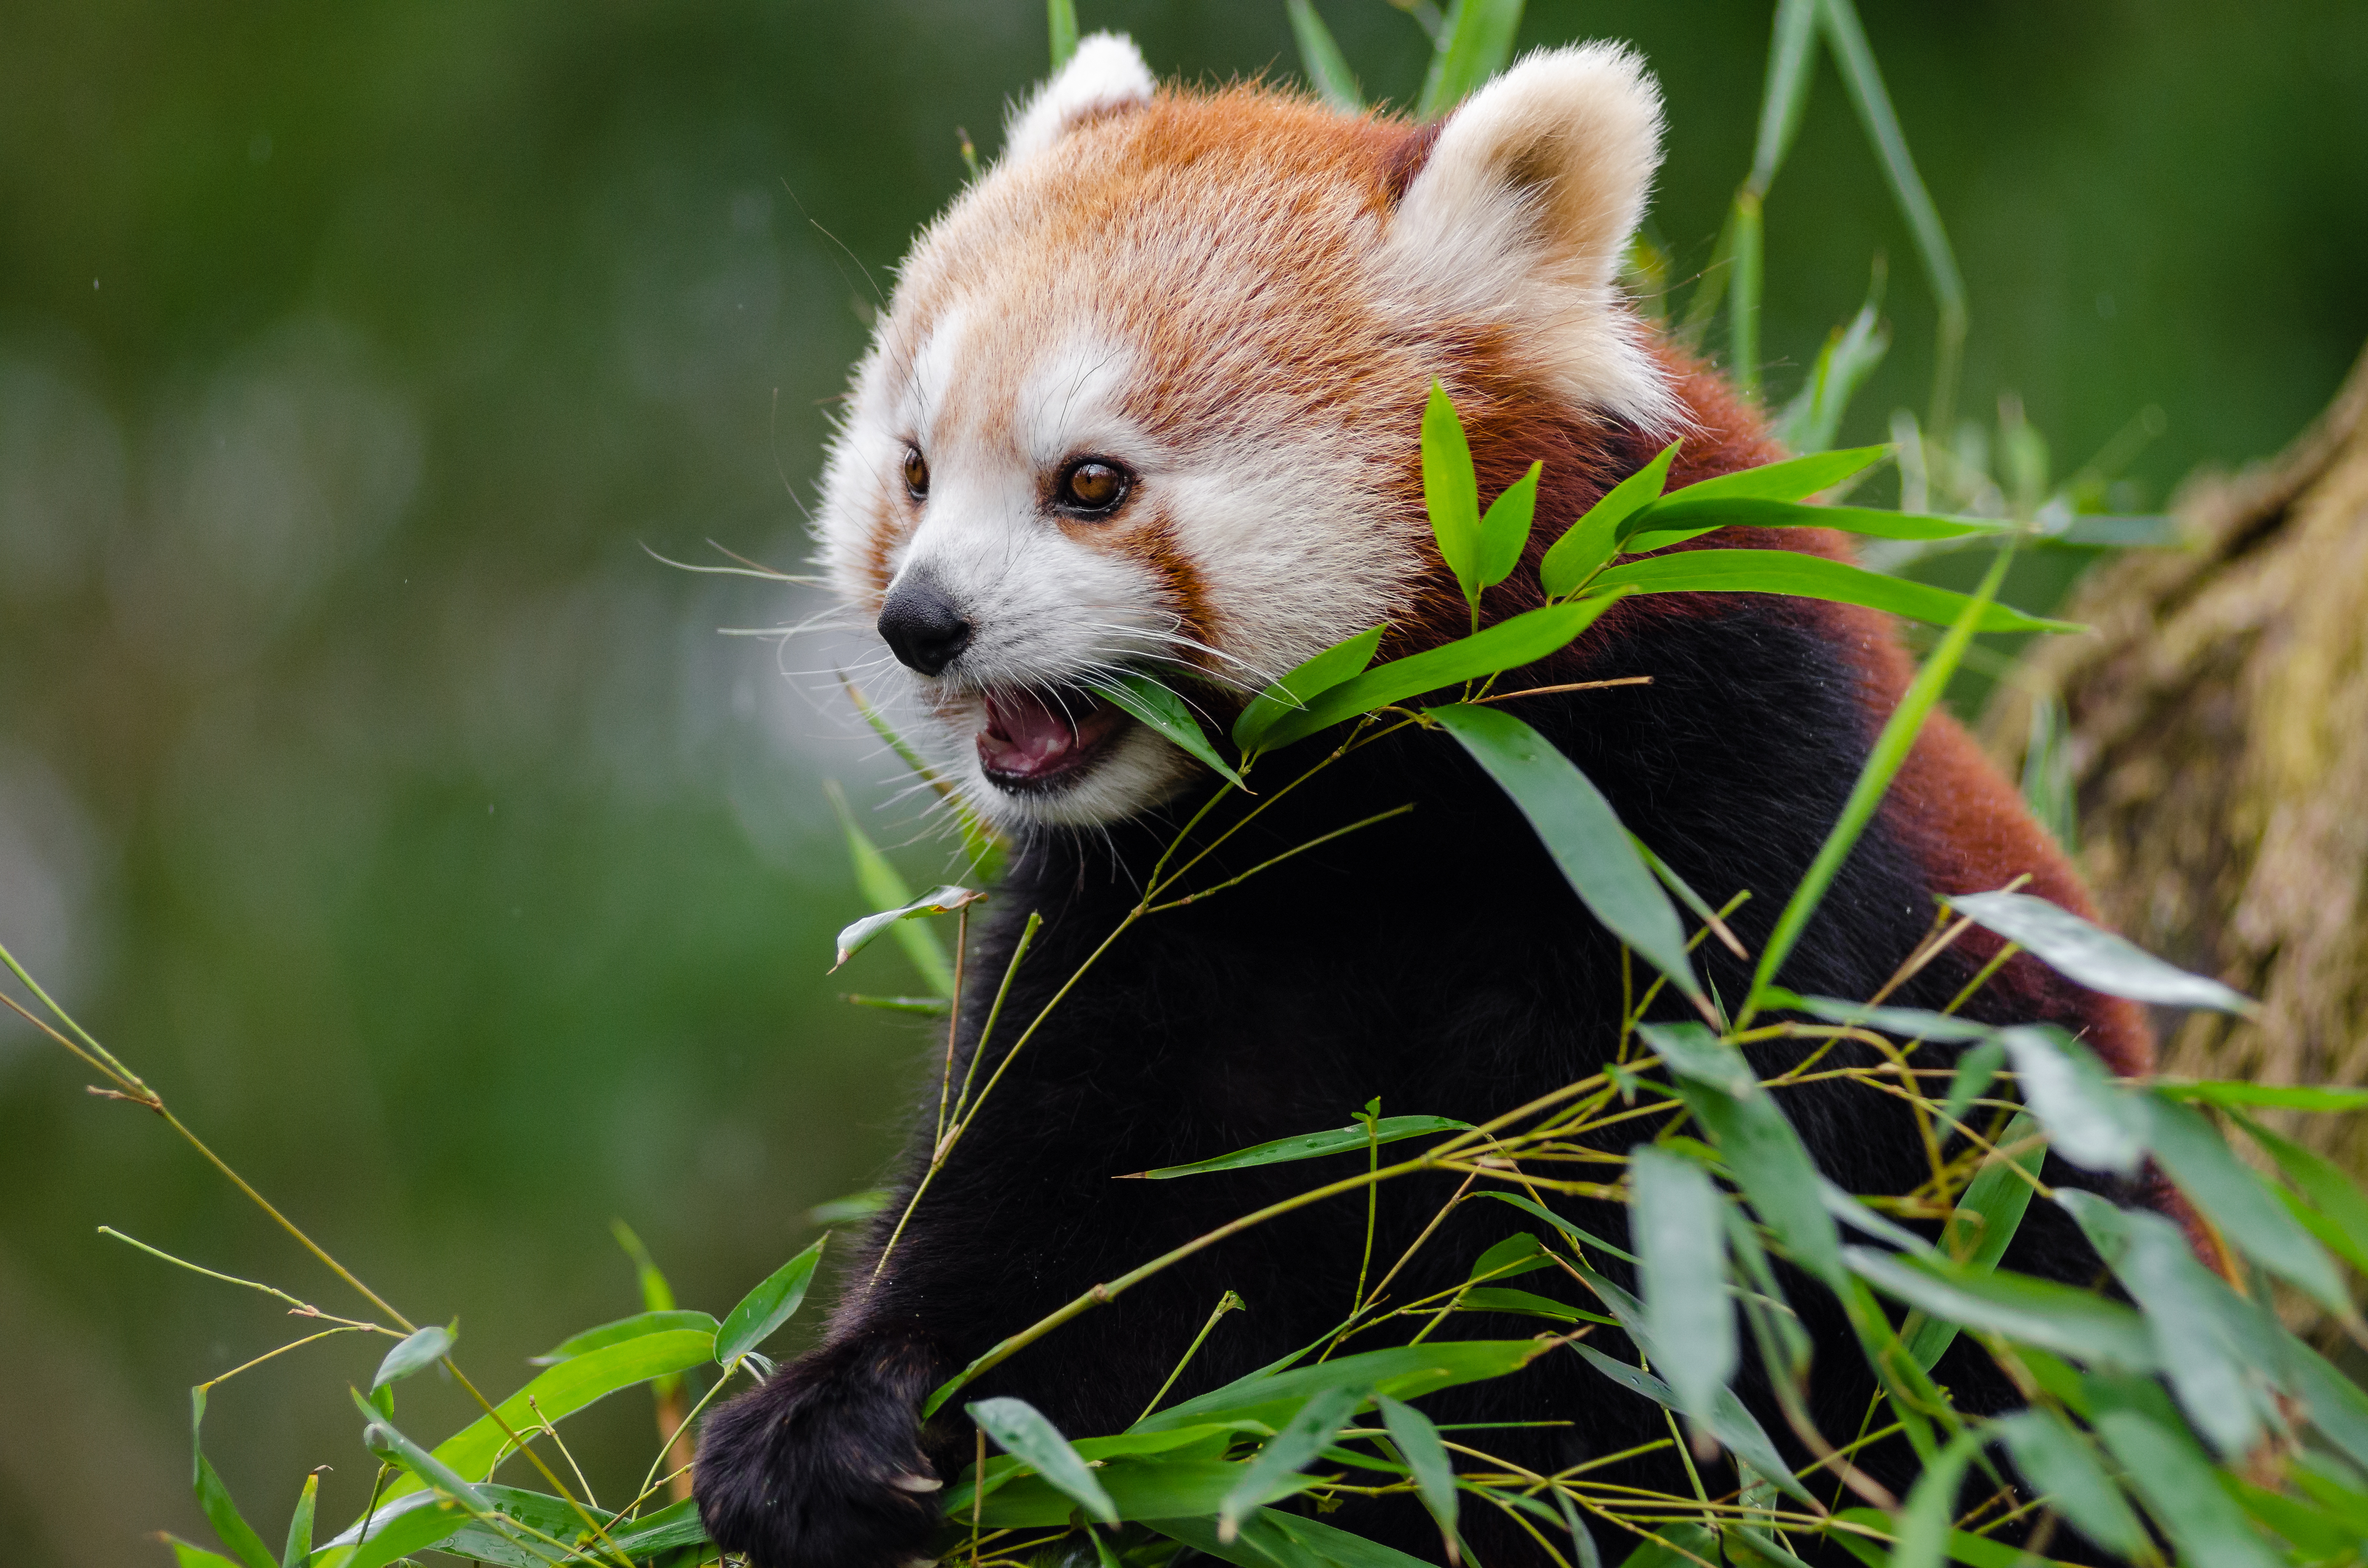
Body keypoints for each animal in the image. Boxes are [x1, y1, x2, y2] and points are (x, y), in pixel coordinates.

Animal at [696, 37, 2169, 1568]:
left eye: (1090, 483)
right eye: (915, 471)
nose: (921, 623)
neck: (1374, 817)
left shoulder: (1723, 829)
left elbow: (1613, 1279)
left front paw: (1438, 1467)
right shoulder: (1137, 920)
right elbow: (1041, 1199)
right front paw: (844, 1421)